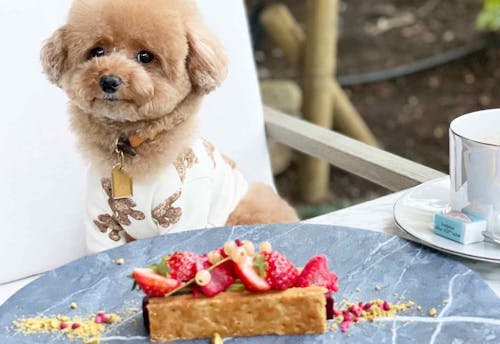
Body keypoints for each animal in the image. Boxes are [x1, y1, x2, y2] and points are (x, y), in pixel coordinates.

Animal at [42, 0, 296, 253]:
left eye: (145, 56)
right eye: (97, 51)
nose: (109, 81)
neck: (131, 143)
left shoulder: (182, 214)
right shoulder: (101, 220)